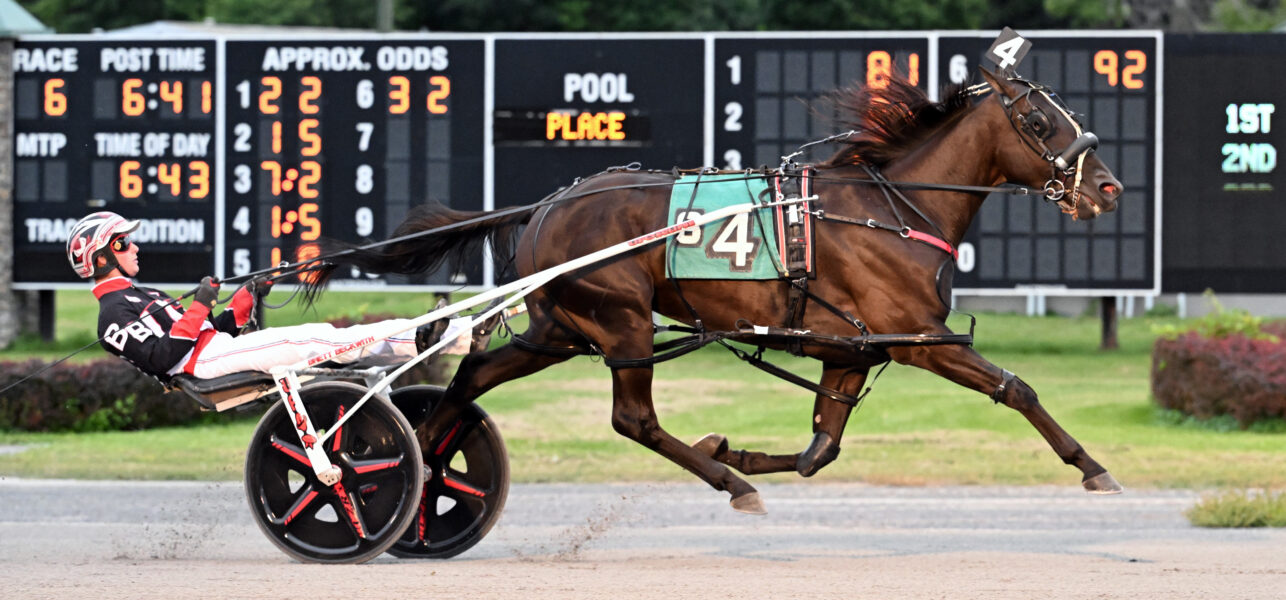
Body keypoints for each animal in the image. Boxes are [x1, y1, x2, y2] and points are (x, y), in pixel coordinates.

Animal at [306, 68, 1125, 514]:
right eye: (1039, 119)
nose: (1109, 189)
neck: (889, 208)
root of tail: (546, 205)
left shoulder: (852, 347)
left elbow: (820, 448)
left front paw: (737, 446)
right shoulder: (919, 337)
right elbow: (1016, 389)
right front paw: (1094, 467)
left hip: (562, 329)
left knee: (473, 373)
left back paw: (419, 463)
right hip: (622, 322)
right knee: (632, 420)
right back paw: (727, 483)